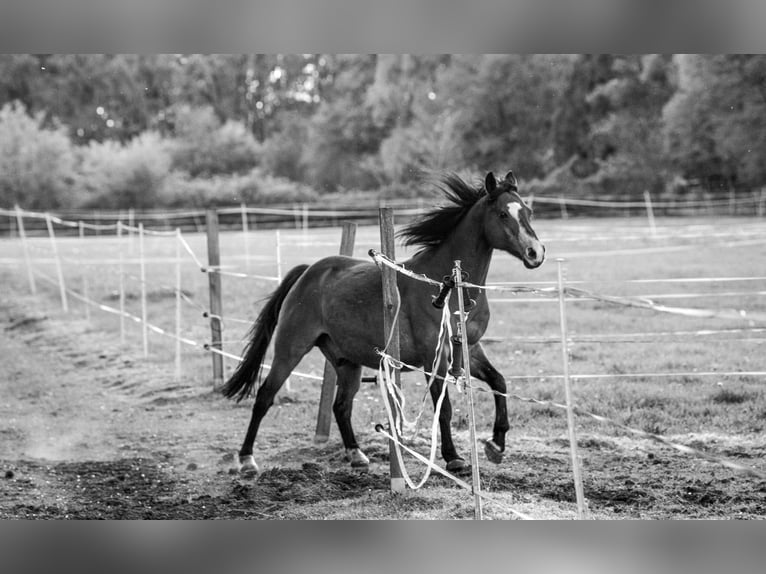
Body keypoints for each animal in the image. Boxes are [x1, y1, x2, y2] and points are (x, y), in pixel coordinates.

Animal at [221, 170, 546, 475]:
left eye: (528, 212)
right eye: (503, 214)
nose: (536, 253)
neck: (448, 287)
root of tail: (308, 272)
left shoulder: (470, 349)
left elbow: (499, 382)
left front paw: (497, 444)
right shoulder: (435, 357)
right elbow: (444, 408)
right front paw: (454, 458)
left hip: (346, 360)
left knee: (341, 406)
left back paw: (356, 455)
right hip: (290, 349)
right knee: (264, 397)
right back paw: (247, 459)